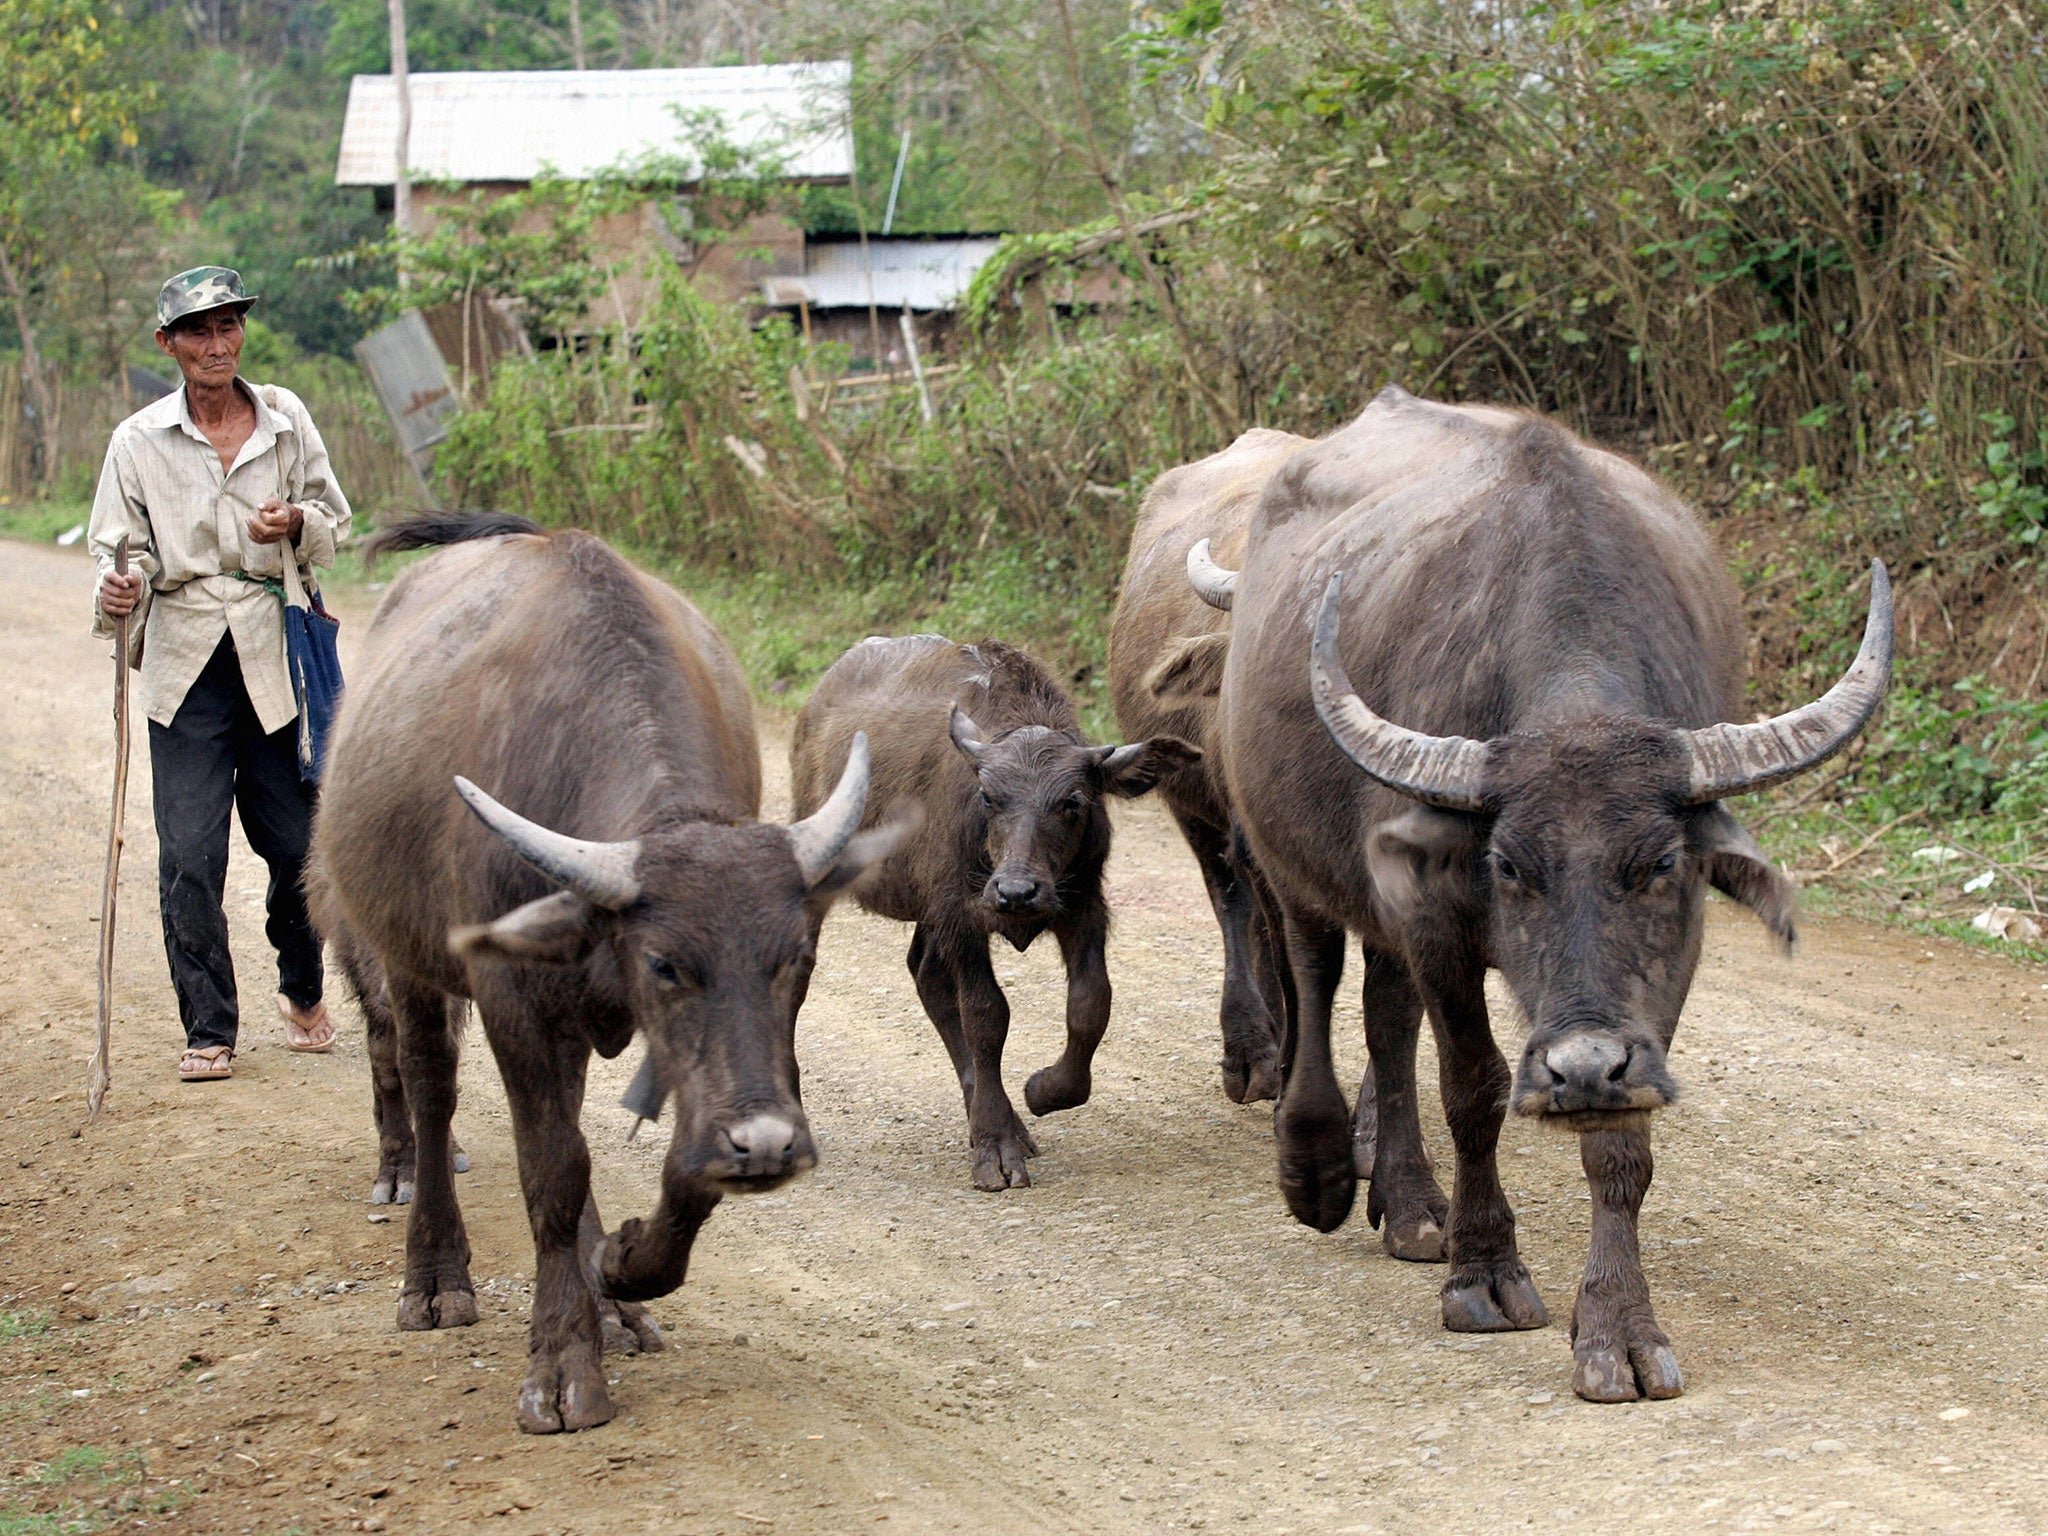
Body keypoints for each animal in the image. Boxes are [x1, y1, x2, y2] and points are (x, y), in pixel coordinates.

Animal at [309, 514, 905, 1433]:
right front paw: (561, 1362)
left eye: (796, 957)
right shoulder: (514, 1000)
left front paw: (620, 1265)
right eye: (664, 962)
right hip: (403, 959)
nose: (770, 1143)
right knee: (431, 1086)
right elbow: (551, 1170)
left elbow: (681, 1169)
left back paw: (612, 1302)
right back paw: (436, 1275)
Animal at [786, 634, 1196, 1187]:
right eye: (988, 796)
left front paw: (1044, 1092)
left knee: (926, 975)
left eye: (1073, 802)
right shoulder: (962, 915)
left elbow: (1091, 1002)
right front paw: (996, 1145)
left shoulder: (1083, 906)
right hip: (823, 867)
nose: (1016, 893)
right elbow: (986, 1013)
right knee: (800, 971)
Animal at [1196, 387, 1884, 1409]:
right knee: (1316, 983)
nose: (1582, 1069)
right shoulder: (1438, 924)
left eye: (1660, 864)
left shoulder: (1655, 984)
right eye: (1510, 866)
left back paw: (1410, 1207)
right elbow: (1471, 1088)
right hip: (1286, 851)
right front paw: (1483, 1274)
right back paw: (1320, 1171)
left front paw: (1619, 1330)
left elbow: (1621, 1143)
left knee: (1385, 1019)